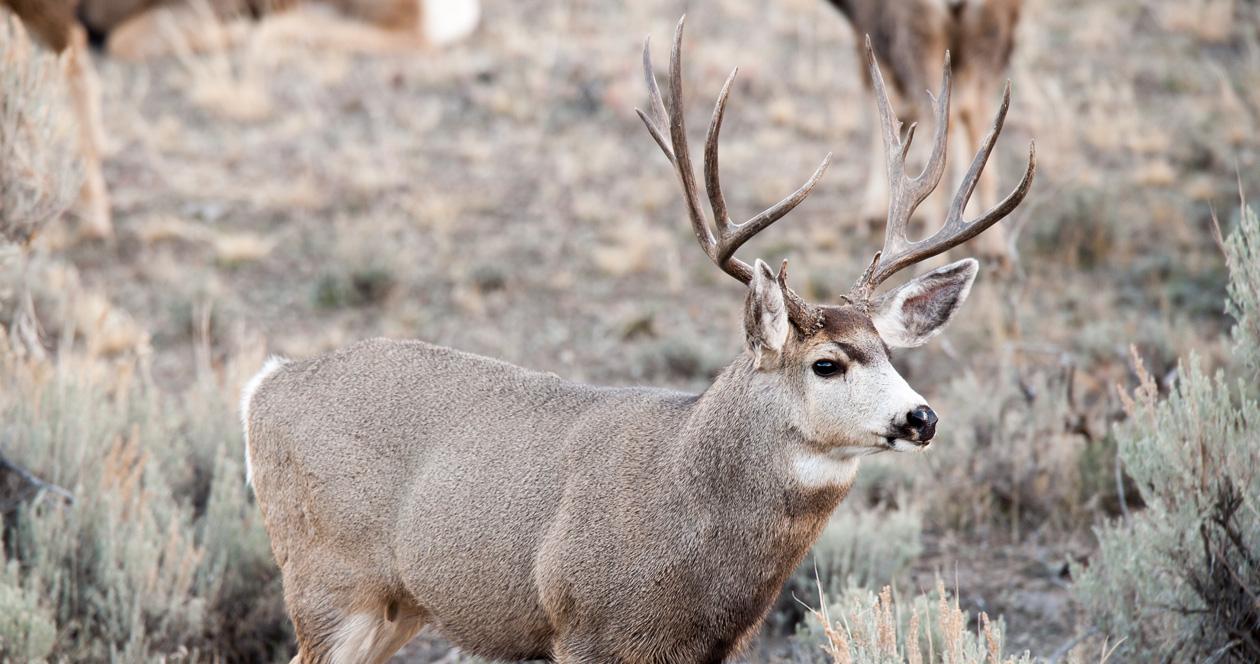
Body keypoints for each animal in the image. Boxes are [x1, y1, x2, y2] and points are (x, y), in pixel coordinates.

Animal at [825, 0, 1023, 262]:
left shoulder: (871, 28)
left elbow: (883, 102)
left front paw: (872, 212)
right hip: (990, 34)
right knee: (976, 111)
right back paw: (995, 247)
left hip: (918, 34)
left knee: (943, 118)